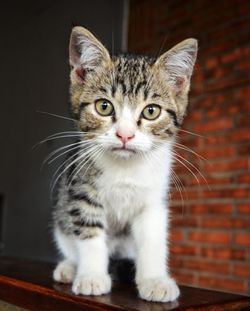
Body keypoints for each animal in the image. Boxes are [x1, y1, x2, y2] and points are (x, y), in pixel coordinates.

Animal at [52, 25, 197, 304]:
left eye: (151, 111)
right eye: (104, 106)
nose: (125, 135)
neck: (125, 167)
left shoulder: (153, 200)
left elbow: (153, 238)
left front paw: (154, 279)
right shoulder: (80, 190)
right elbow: (89, 232)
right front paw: (91, 276)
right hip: (61, 217)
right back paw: (69, 267)